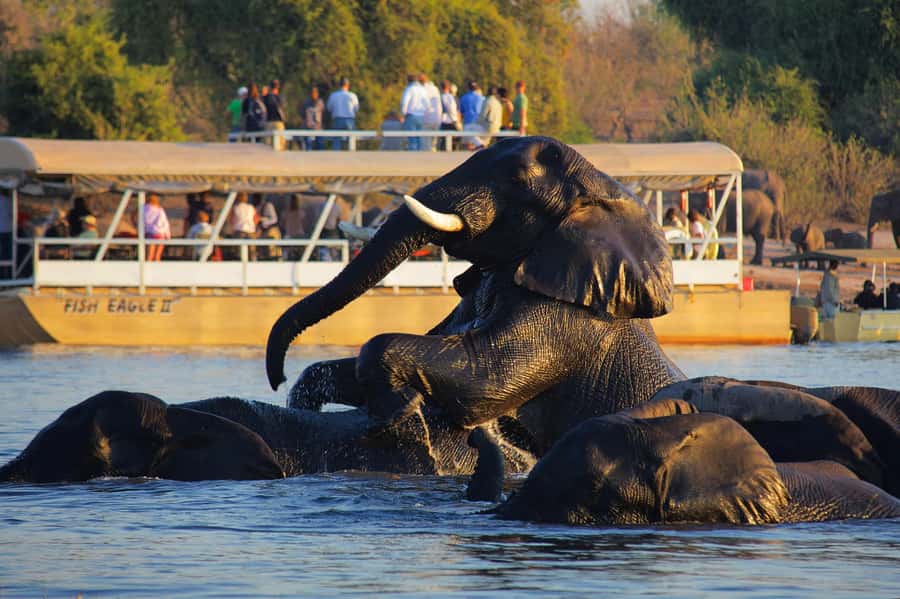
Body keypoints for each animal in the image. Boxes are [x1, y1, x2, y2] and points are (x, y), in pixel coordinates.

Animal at [267, 136, 683, 456]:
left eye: (516, 179)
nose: (276, 378)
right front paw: (305, 401)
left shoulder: (568, 320)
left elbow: (485, 378)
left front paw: (399, 414)